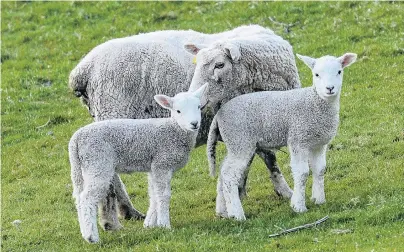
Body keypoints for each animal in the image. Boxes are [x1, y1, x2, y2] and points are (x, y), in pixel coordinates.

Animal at [68, 84, 205, 242]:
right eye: (178, 111)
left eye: (199, 107)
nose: (194, 124)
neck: (174, 130)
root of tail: (76, 139)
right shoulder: (162, 163)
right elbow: (163, 195)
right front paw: (164, 224)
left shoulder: (153, 167)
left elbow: (153, 194)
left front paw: (150, 224)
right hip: (98, 162)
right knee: (87, 199)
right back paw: (92, 237)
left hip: (84, 167)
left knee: (78, 198)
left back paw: (84, 233)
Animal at [208, 52, 356, 220]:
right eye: (316, 74)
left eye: (339, 72)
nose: (329, 88)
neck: (315, 101)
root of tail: (219, 115)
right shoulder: (298, 139)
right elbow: (302, 173)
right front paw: (298, 206)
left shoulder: (318, 143)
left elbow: (319, 170)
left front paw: (319, 200)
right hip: (240, 140)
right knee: (229, 175)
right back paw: (238, 214)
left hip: (234, 143)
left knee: (222, 172)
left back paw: (224, 212)